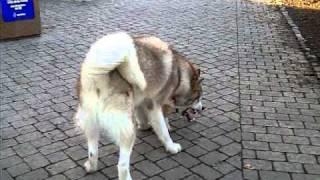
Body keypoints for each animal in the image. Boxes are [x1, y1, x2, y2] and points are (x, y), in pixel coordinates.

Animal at [75, 32, 204, 180]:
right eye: (197, 98)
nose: (203, 108)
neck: (179, 74)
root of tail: (98, 77)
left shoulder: (141, 102)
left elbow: (142, 116)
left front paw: (144, 126)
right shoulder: (155, 106)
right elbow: (163, 129)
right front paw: (171, 145)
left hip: (91, 124)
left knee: (93, 152)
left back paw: (91, 167)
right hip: (127, 131)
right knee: (122, 165)